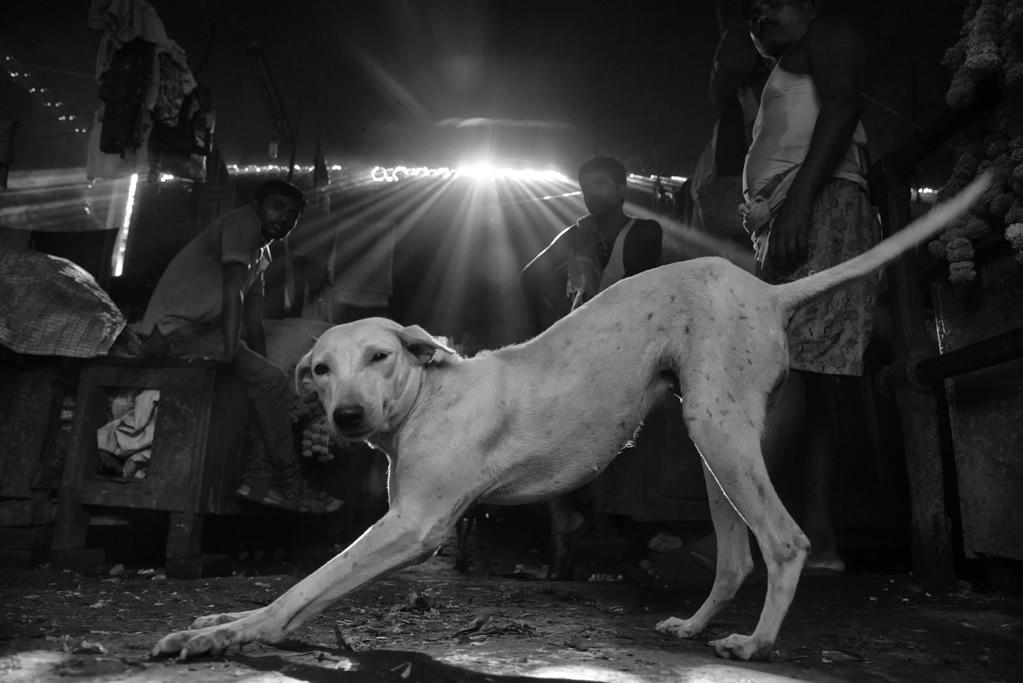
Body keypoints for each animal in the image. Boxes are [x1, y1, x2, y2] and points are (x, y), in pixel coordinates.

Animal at [155, 175, 986, 662]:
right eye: (320, 370)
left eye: (380, 356)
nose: (349, 416)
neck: (428, 397)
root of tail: (767, 289)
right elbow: (299, 585)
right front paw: (221, 617)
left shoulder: (413, 527)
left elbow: (308, 585)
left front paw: (231, 632)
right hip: (714, 442)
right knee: (736, 557)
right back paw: (694, 626)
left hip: (719, 434)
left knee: (784, 543)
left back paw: (754, 641)